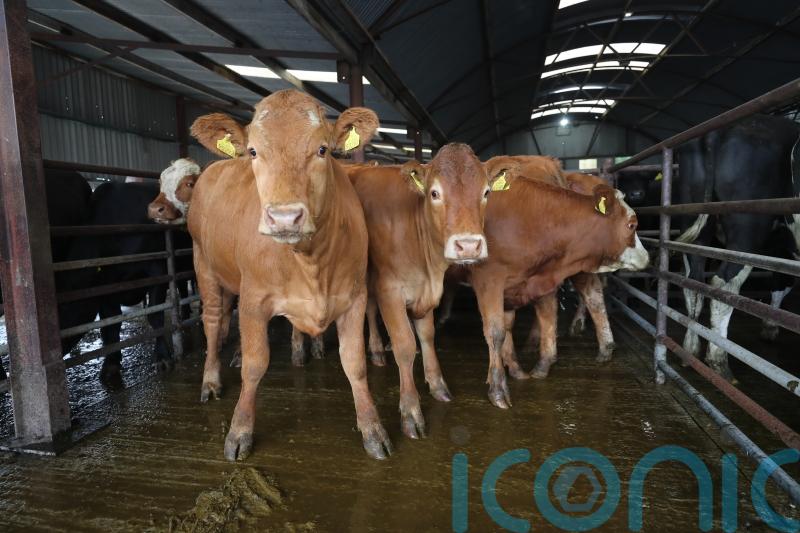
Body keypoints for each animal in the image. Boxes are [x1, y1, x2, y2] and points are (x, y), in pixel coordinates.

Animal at [188, 90, 391, 461]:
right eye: (254, 151)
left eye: (323, 149)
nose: (284, 218)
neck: (310, 262)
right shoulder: (254, 300)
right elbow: (255, 365)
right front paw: (239, 431)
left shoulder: (354, 297)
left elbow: (355, 363)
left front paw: (373, 429)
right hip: (203, 264)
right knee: (212, 320)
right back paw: (210, 380)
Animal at [349, 146, 501, 439]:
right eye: (434, 193)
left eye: (487, 192)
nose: (468, 246)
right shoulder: (389, 290)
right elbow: (405, 345)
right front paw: (410, 411)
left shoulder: (429, 291)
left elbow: (428, 336)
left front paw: (437, 384)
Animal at [467, 170, 648, 408]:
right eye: (632, 224)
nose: (647, 257)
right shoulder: (490, 280)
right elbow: (498, 330)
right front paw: (500, 386)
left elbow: (537, 318)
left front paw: (528, 367)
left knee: (592, 295)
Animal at [677, 114, 800, 382]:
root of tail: (718, 130)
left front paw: (770, 327)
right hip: (746, 229)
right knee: (724, 283)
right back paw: (719, 362)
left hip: (698, 226)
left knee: (693, 281)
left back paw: (690, 349)